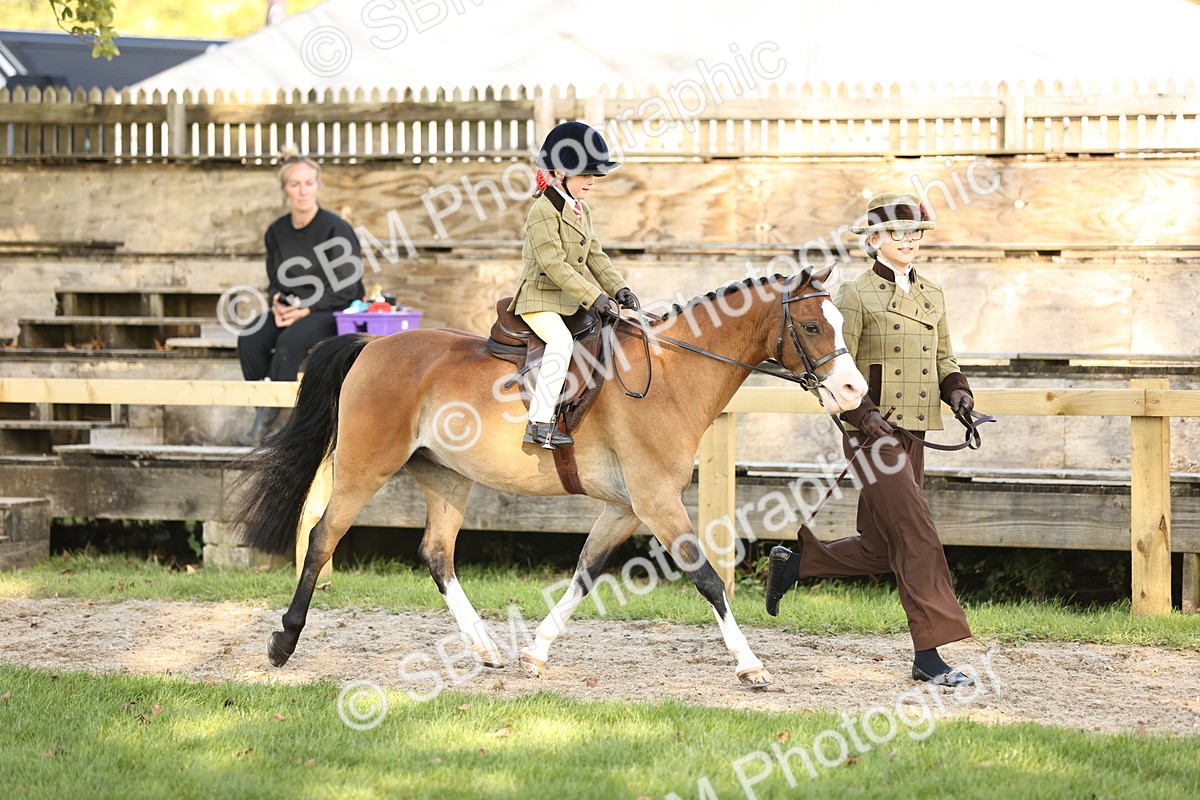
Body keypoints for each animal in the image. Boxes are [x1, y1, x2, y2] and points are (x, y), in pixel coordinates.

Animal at [231, 266, 868, 687]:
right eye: (813, 327)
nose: (854, 390)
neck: (670, 374)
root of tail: (371, 345)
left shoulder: (624, 508)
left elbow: (585, 575)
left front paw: (535, 654)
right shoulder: (657, 502)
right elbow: (708, 579)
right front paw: (751, 664)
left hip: (447, 478)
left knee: (437, 555)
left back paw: (487, 649)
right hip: (366, 468)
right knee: (322, 538)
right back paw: (284, 642)